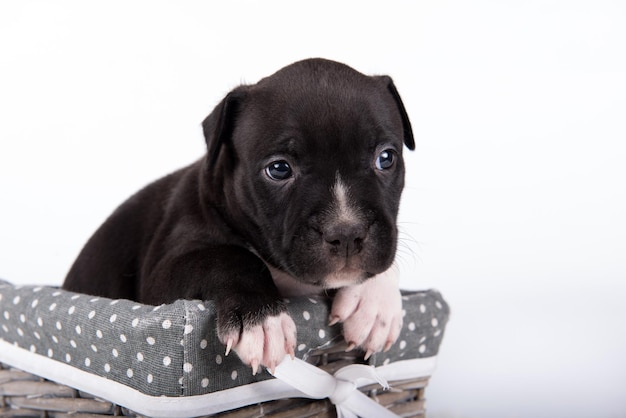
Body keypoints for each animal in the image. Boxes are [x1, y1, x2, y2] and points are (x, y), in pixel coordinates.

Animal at [64, 58, 414, 372]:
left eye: (385, 158)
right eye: (279, 169)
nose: (346, 232)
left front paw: (375, 303)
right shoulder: (160, 281)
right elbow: (231, 255)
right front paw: (262, 320)